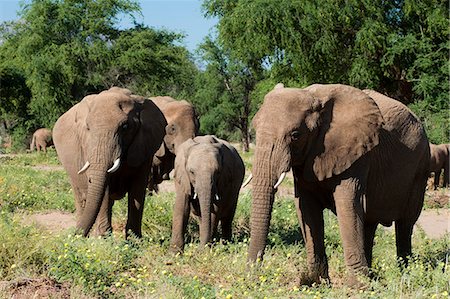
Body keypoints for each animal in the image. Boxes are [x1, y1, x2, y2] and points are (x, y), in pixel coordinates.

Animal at [54, 86, 167, 239]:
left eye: (125, 127)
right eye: (88, 128)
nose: (73, 236)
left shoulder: (144, 146)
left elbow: (138, 190)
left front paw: (135, 240)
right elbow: (104, 188)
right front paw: (103, 238)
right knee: (80, 196)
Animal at [248, 84, 430, 286]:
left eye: (296, 135)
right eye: (253, 130)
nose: (255, 276)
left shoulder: (356, 152)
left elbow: (347, 205)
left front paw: (357, 287)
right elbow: (307, 209)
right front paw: (317, 282)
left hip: (421, 167)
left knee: (405, 224)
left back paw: (405, 274)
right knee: (369, 223)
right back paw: (373, 275)